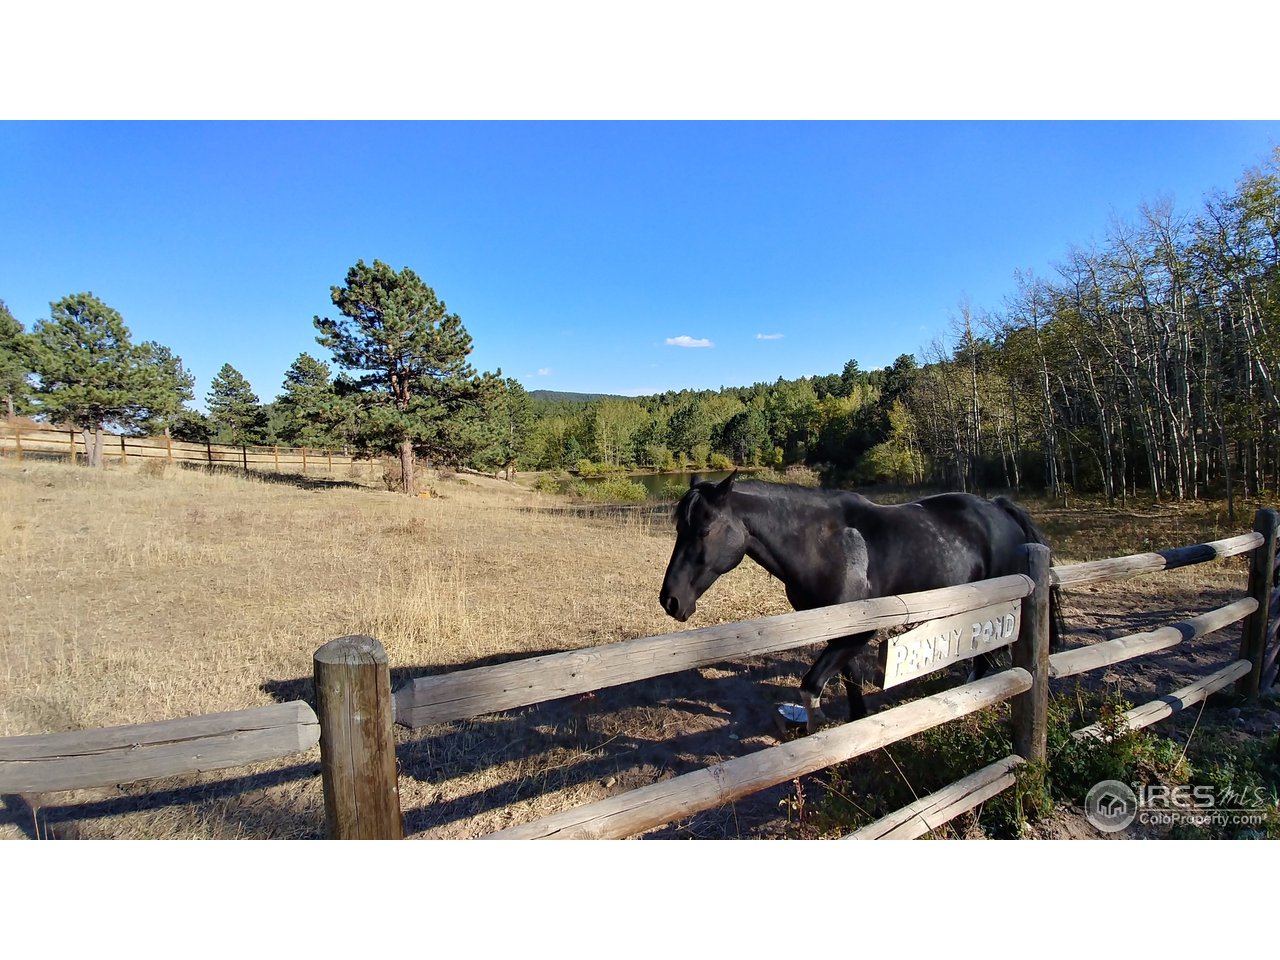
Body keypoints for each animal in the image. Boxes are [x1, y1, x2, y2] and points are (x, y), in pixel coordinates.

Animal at [659, 472, 1061, 732]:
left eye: (704, 530)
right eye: (679, 528)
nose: (670, 600)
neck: (824, 545)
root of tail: (998, 508)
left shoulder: (857, 634)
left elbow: (811, 687)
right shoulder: (841, 630)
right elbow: (849, 682)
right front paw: (857, 725)